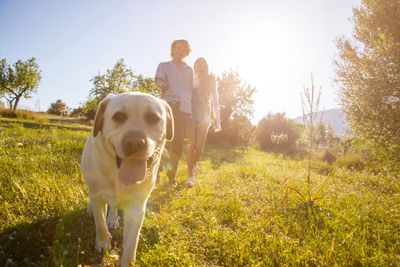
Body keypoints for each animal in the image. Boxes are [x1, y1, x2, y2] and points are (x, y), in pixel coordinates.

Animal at [81, 92, 173, 267]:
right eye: (118, 116)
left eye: (153, 118)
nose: (135, 142)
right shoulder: (98, 196)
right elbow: (100, 223)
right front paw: (103, 243)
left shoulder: (137, 207)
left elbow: (131, 244)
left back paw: (113, 218)